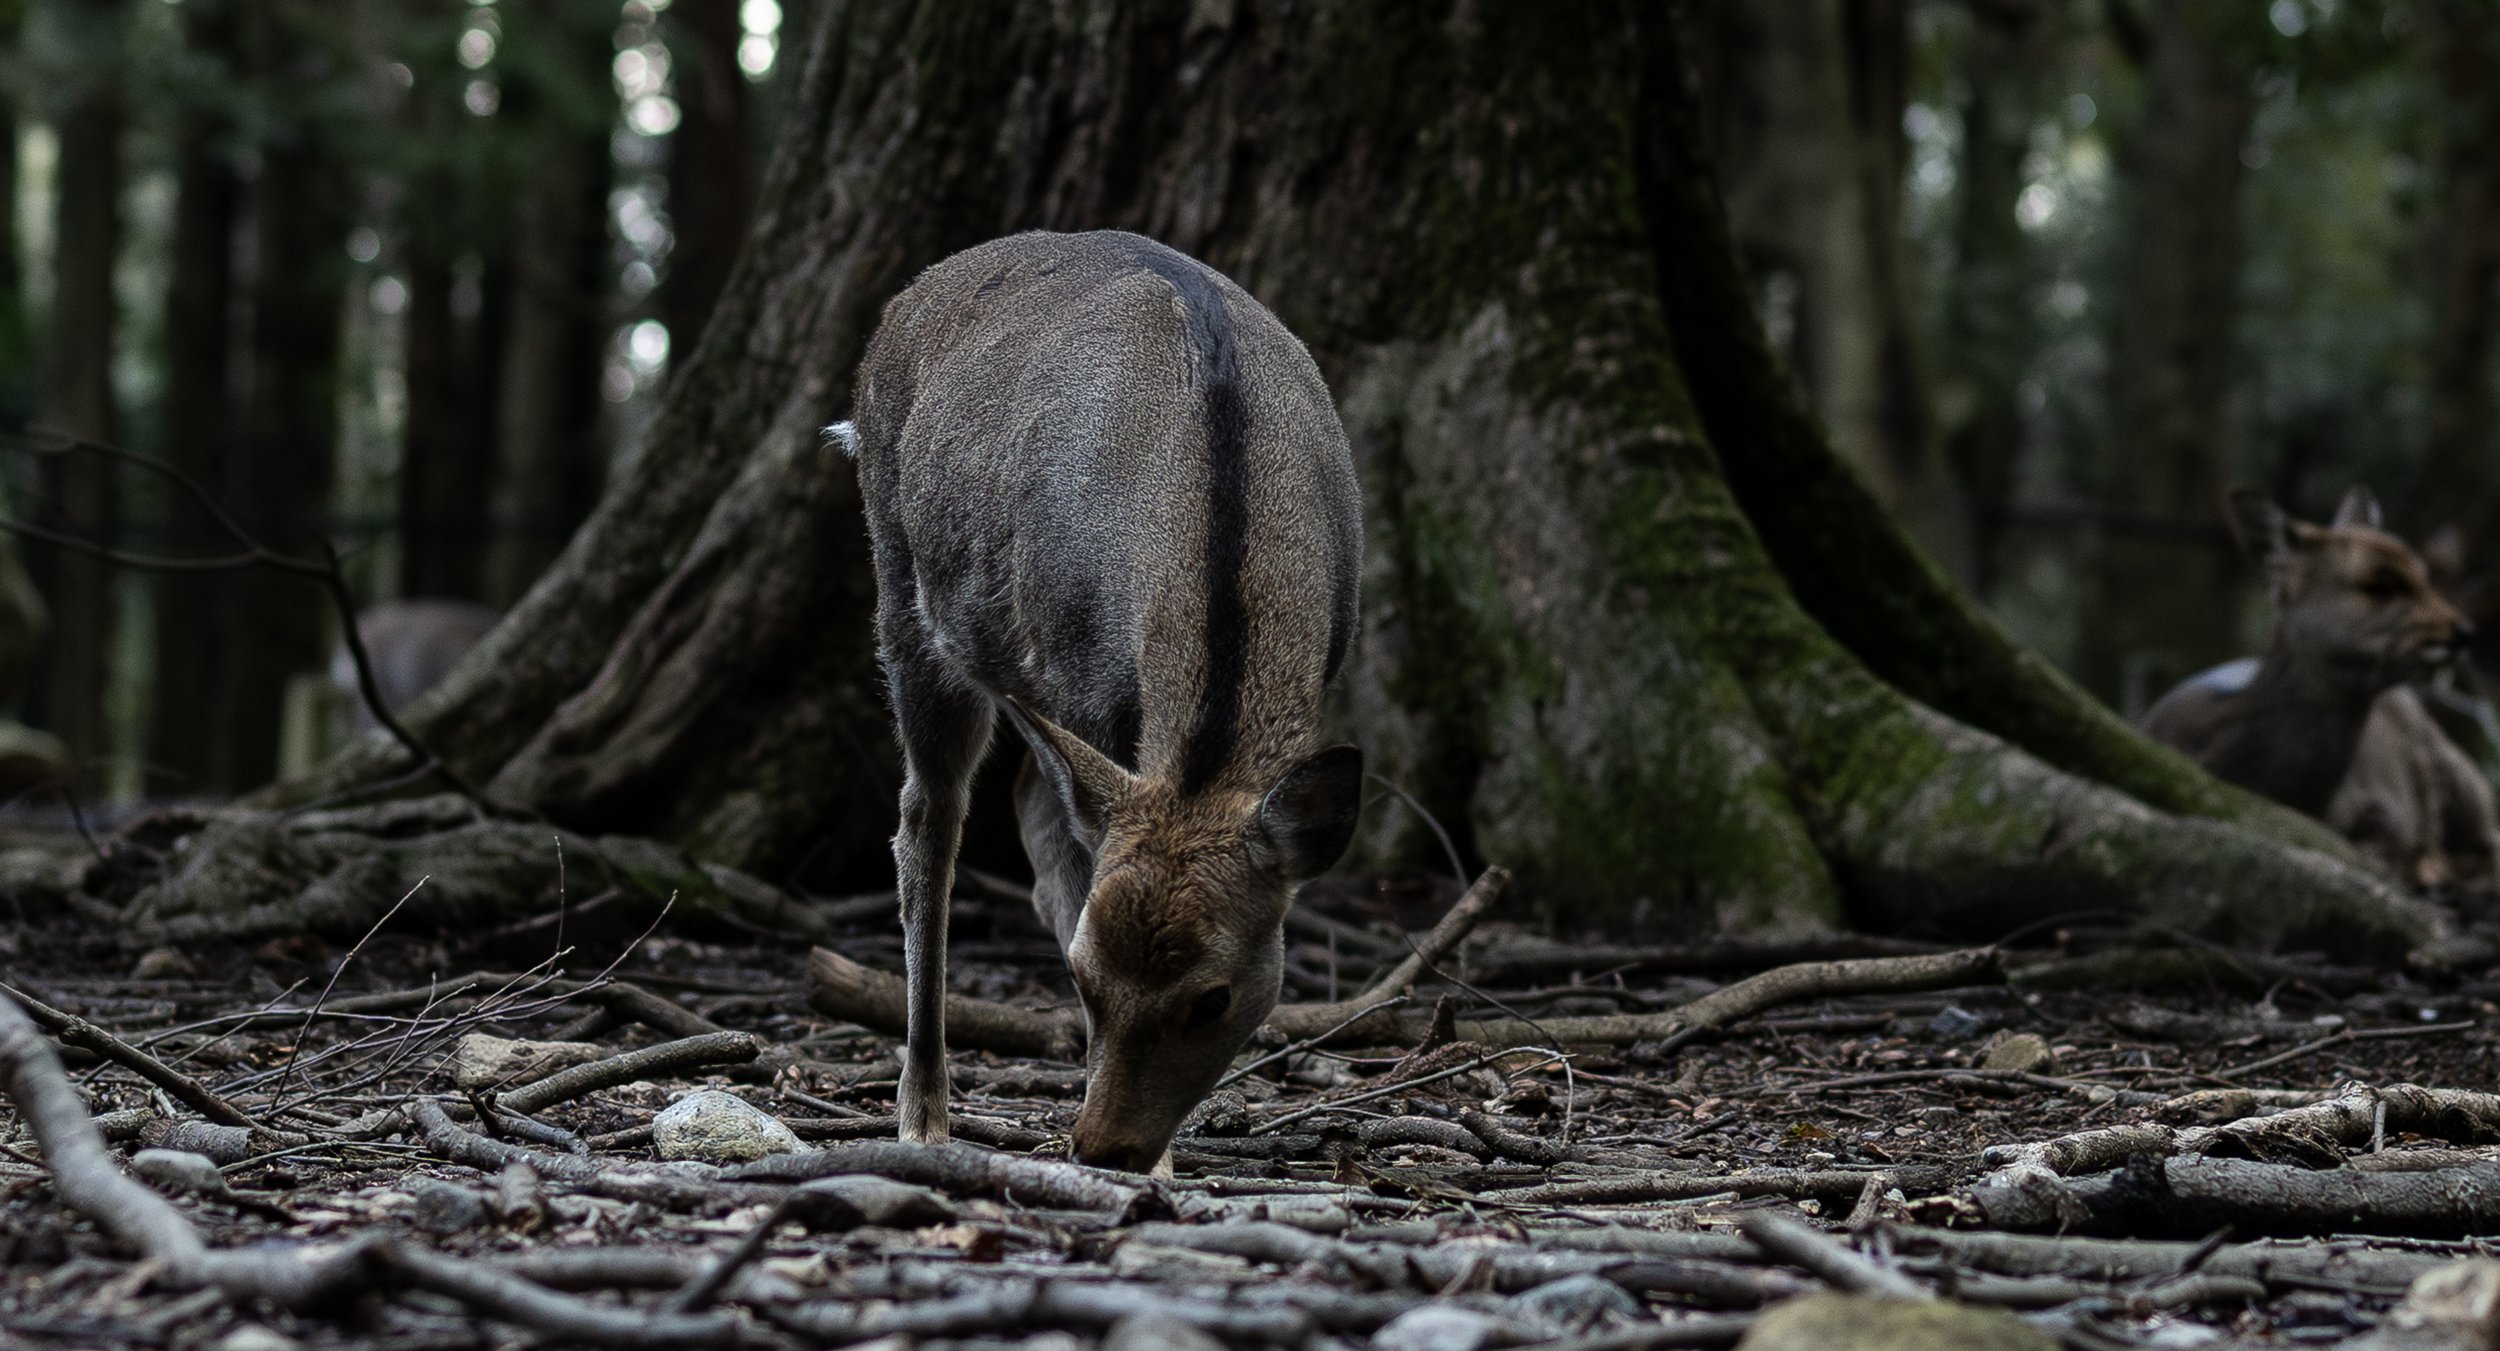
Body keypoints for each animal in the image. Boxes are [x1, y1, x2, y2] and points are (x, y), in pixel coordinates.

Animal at [838, 231, 1365, 1173]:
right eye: (1084, 981)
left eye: (1212, 996)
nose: (1106, 1145)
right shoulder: (1081, 672)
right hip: (904, 586)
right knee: (929, 815)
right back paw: (922, 1111)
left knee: (1029, 802)